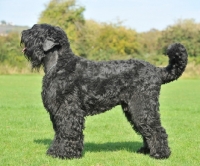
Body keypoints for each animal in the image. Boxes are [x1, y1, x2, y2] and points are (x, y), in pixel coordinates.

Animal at [20, 23, 188, 160]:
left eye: (35, 31)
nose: (22, 33)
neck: (59, 65)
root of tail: (156, 71)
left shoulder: (69, 110)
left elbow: (67, 131)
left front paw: (65, 154)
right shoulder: (57, 111)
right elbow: (59, 132)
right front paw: (56, 152)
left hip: (142, 106)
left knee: (157, 130)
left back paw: (160, 154)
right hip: (133, 109)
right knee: (146, 130)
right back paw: (146, 151)